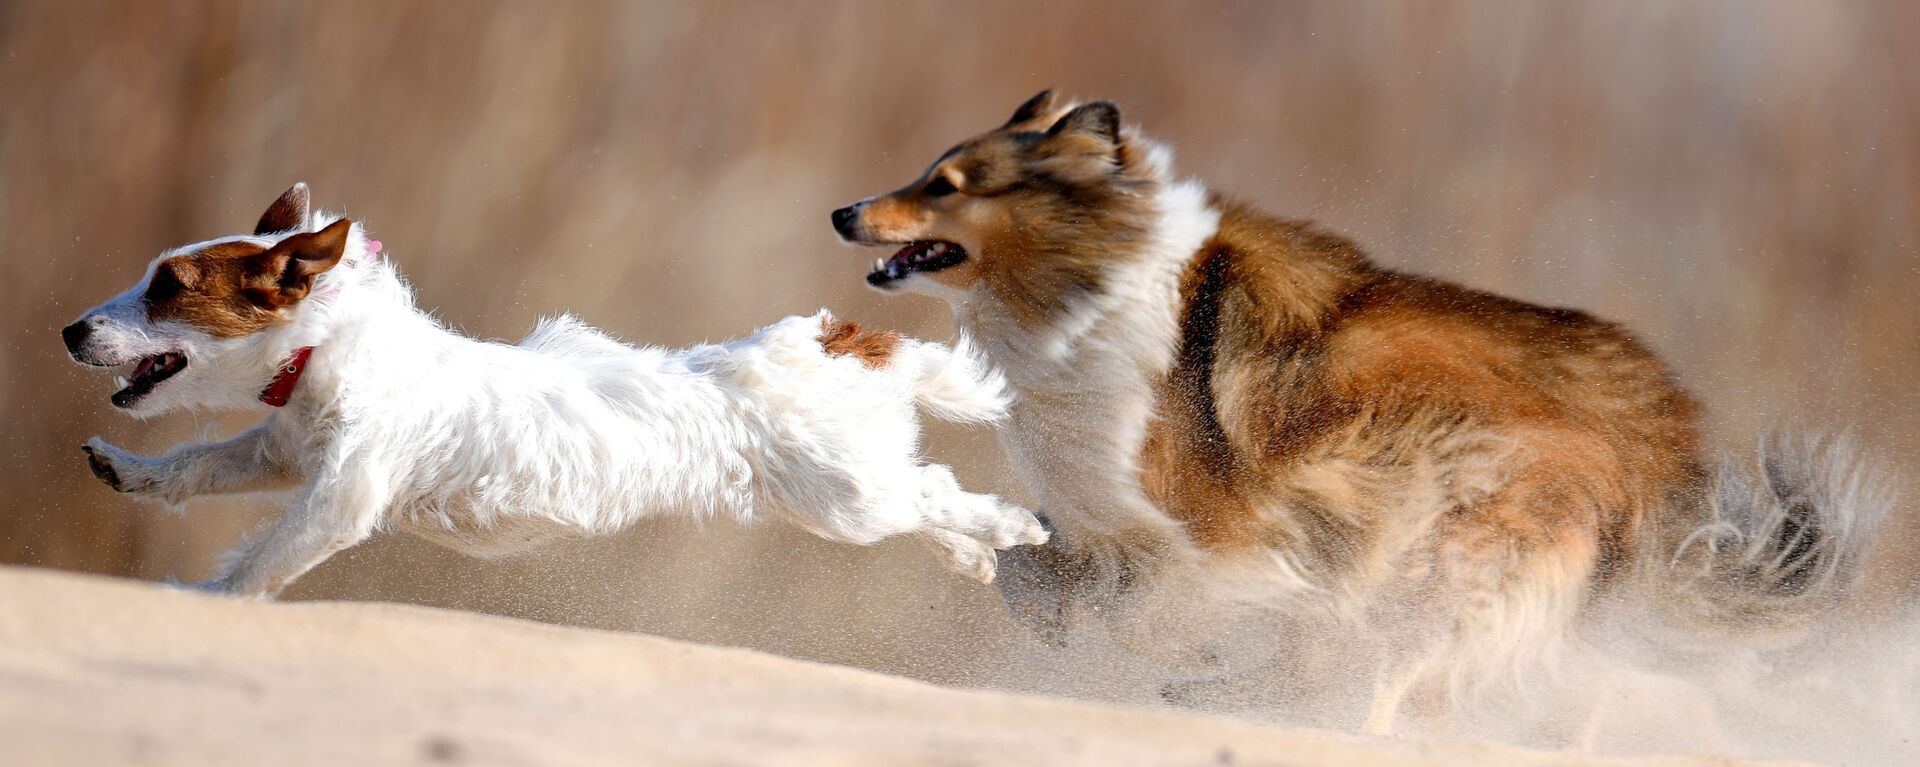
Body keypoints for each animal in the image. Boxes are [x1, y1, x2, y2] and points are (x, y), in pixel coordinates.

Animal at [67, 183, 1044, 595]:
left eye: (170, 288)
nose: (72, 331)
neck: (334, 346)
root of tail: (841, 340)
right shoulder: (279, 447)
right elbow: (197, 462)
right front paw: (128, 469)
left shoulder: (340, 498)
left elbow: (258, 562)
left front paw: (199, 600)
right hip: (844, 497)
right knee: (929, 500)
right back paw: (972, 555)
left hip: (847, 497)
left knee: (939, 493)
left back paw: (1012, 526)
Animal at [829, 93, 1889, 730]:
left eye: (946, 185)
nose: (844, 213)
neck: (1091, 285)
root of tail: (1654, 446)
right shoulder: (1114, 515)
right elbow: (1036, 565)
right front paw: (1058, 613)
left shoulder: (1233, 524)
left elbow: (1152, 604)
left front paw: (1168, 643)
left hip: (1435, 533)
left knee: (1389, 672)